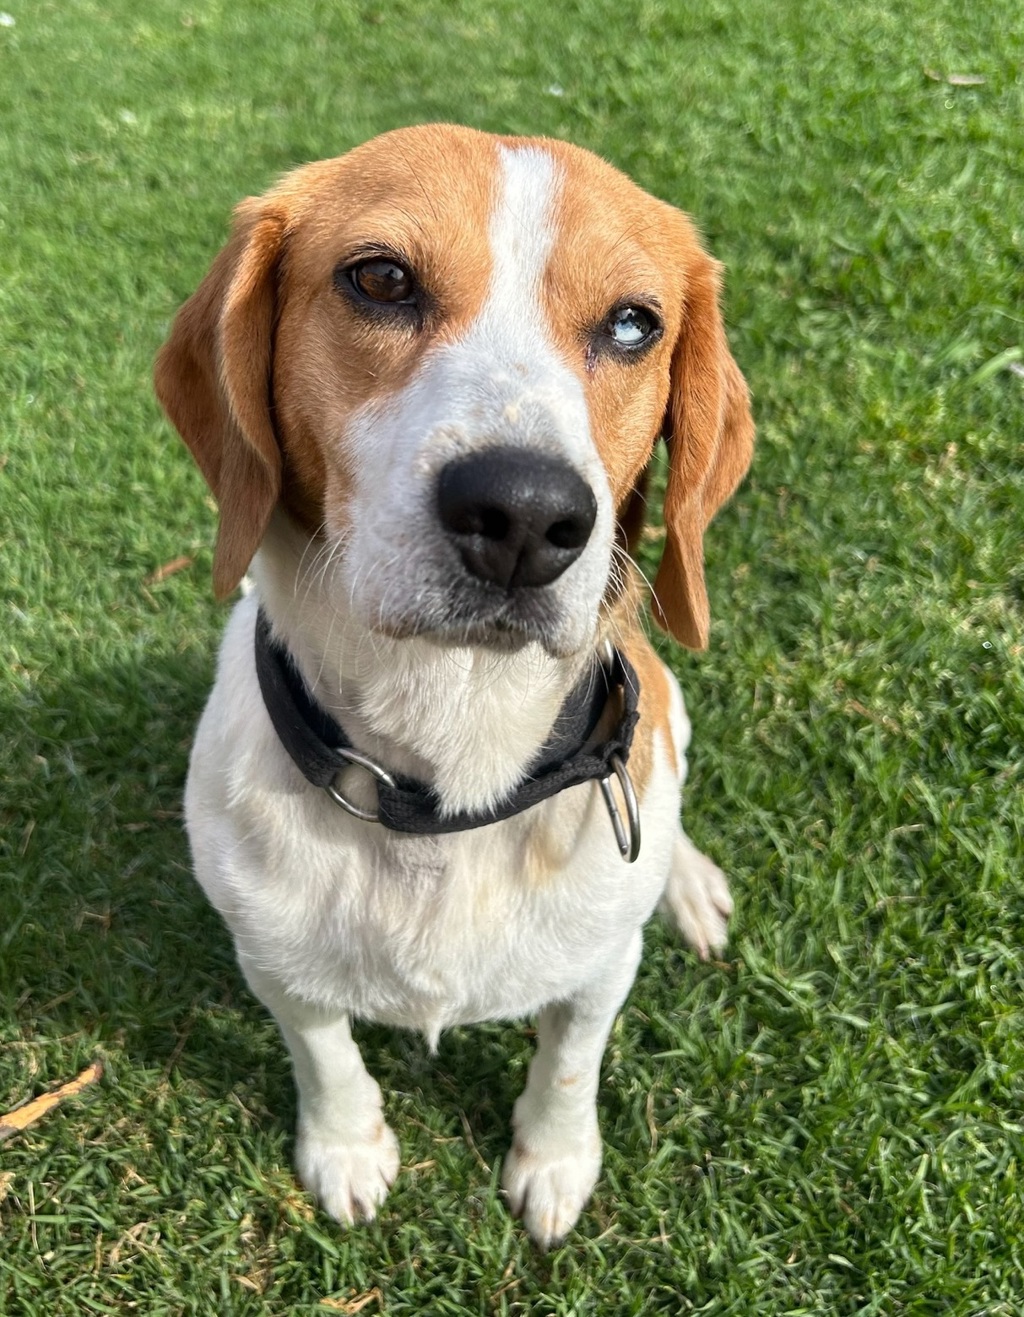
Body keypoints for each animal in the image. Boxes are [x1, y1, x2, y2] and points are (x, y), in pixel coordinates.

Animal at [155, 123, 753, 1248]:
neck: (447, 771)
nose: (524, 513)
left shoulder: (600, 974)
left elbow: (568, 1065)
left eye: (633, 323)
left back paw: (687, 884)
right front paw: (346, 1147)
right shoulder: (271, 958)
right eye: (381, 278)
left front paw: (553, 1163)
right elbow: (325, 1052)